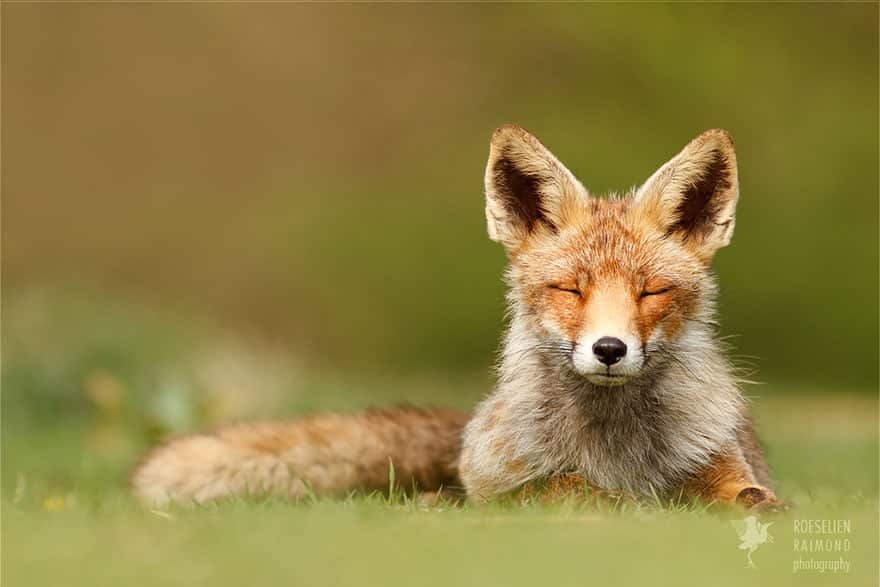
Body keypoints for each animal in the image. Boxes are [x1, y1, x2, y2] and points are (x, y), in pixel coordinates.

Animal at [131, 126, 776, 512]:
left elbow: (748, 498)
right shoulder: (501, 484)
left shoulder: (724, 466)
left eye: (651, 292)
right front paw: (615, 502)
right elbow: (562, 486)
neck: (614, 447)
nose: (610, 350)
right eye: (570, 289)